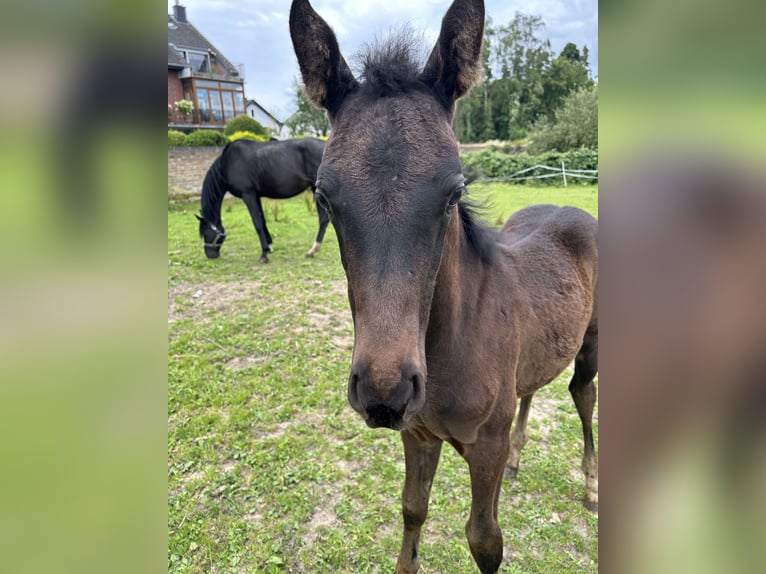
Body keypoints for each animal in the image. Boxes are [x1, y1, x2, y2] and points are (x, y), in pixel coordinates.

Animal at [195, 138, 330, 264]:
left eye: (205, 233)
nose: (210, 255)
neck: (227, 163)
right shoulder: (256, 196)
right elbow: (263, 220)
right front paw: (269, 247)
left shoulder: (248, 195)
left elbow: (257, 223)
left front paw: (264, 254)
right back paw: (313, 250)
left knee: (324, 219)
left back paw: (313, 250)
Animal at [292, 1, 596, 574]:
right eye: (323, 195)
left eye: (454, 190)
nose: (383, 392)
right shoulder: (417, 433)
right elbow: (412, 511)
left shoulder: (485, 448)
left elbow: (484, 540)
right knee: (531, 389)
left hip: (593, 347)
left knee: (583, 396)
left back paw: (591, 485)